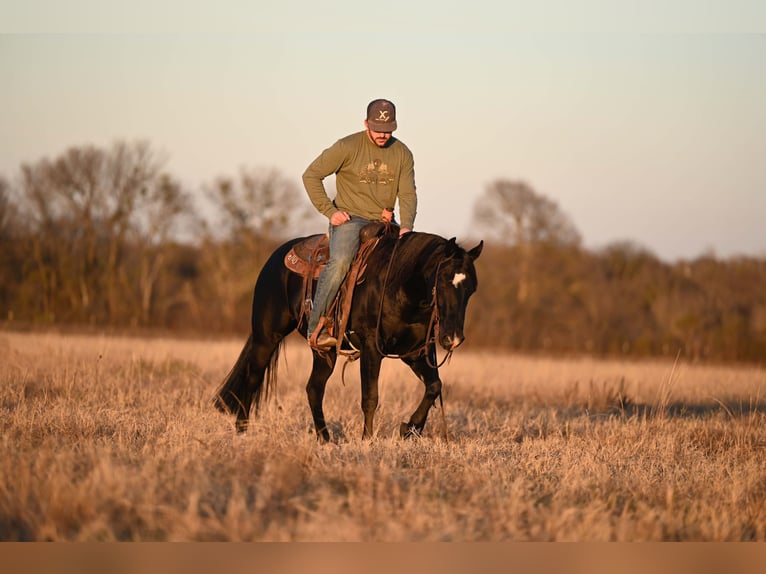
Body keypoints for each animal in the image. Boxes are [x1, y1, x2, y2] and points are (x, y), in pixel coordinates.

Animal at [213, 230, 484, 440]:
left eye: (471, 289)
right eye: (444, 281)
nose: (453, 339)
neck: (397, 286)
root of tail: (276, 257)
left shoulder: (415, 353)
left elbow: (434, 386)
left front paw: (409, 429)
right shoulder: (372, 348)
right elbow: (370, 397)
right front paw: (367, 440)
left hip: (323, 351)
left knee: (313, 389)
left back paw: (325, 439)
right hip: (266, 337)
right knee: (252, 378)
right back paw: (242, 432)